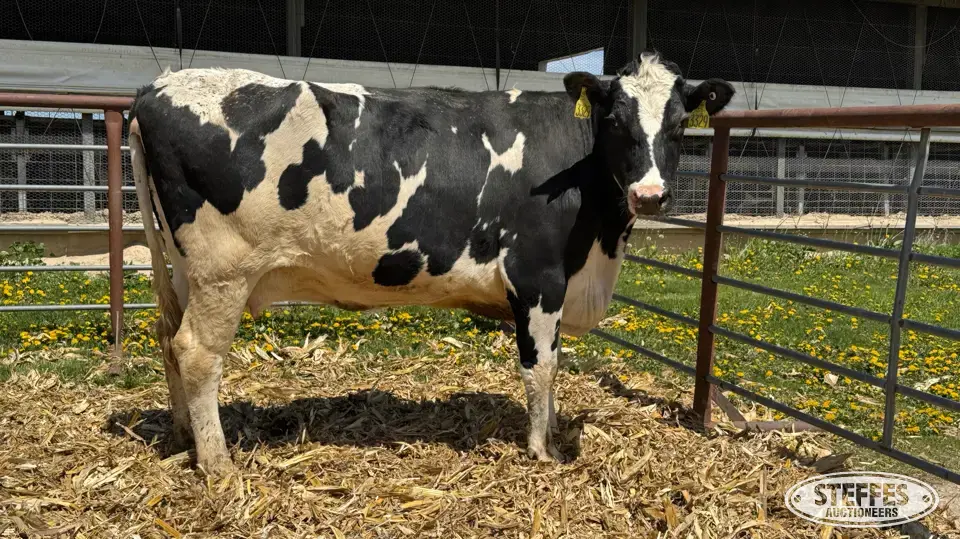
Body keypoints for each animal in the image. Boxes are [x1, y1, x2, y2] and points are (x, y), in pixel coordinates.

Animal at [128, 52, 734, 476]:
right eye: (616, 121)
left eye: (679, 125)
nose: (651, 196)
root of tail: (158, 86)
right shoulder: (537, 275)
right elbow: (541, 367)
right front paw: (542, 450)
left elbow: (554, 367)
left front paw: (556, 430)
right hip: (223, 270)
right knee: (196, 353)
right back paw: (217, 463)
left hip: (187, 271)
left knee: (168, 339)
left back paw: (184, 437)